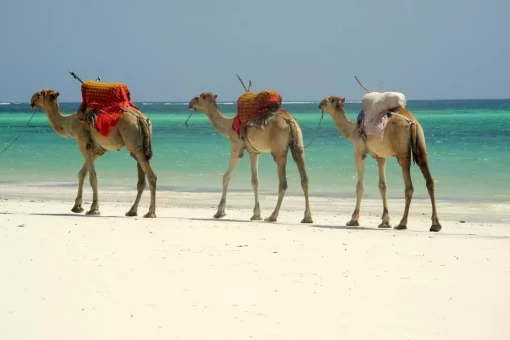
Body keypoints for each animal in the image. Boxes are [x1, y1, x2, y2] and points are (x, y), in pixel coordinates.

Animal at [189, 91, 312, 223]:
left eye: (198, 98)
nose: (190, 104)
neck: (229, 126)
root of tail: (289, 121)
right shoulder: (254, 152)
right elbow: (255, 181)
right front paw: (256, 214)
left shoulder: (237, 147)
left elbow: (227, 176)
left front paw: (219, 212)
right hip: (299, 145)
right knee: (304, 178)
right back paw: (307, 217)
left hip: (278, 150)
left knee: (283, 183)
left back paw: (272, 216)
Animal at [318, 83, 442, 231]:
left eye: (327, 100)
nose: (319, 104)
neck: (353, 130)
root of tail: (411, 122)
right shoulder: (380, 157)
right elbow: (383, 185)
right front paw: (385, 221)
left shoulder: (359, 152)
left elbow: (360, 186)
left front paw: (353, 219)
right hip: (421, 144)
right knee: (429, 180)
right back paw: (435, 224)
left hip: (402, 153)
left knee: (409, 187)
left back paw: (402, 223)